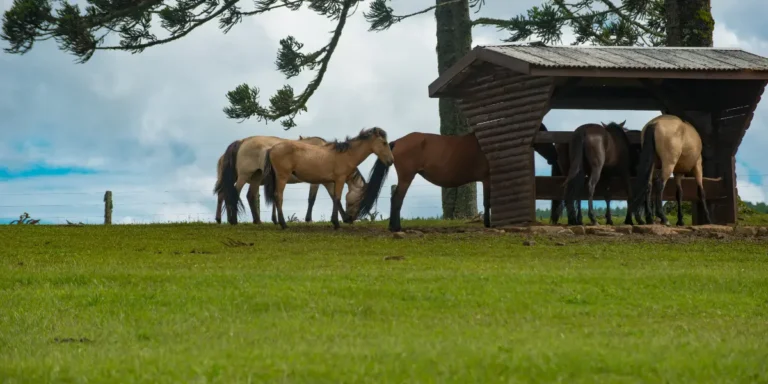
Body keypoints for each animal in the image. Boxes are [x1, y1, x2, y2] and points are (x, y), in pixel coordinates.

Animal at [210, 135, 366, 225]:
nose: (354, 217)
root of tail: (242, 142)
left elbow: (333, 197)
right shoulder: (320, 182)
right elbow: (317, 199)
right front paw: (309, 219)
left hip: (253, 177)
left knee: (240, 195)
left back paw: (252, 220)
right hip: (244, 176)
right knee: (232, 194)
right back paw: (233, 220)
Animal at [264, 127, 396, 230]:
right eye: (384, 143)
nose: (391, 161)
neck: (346, 154)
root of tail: (271, 149)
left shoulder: (328, 182)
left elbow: (333, 198)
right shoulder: (339, 180)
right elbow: (337, 198)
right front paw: (336, 223)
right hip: (282, 177)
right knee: (278, 196)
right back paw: (283, 224)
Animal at [356, 127, 560, 232]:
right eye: (542, 137)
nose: (554, 156)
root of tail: (397, 142)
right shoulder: (486, 179)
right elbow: (487, 201)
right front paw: (488, 224)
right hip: (407, 177)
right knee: (397, 198)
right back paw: (396, 228)